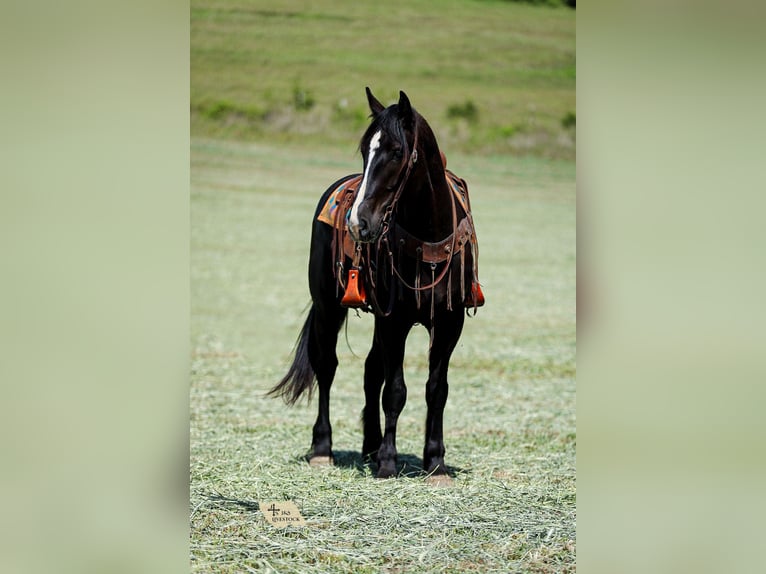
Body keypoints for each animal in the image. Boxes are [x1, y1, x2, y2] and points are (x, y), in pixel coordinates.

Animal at [269, 88, 483, 480]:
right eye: (364, 147)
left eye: (397, 151)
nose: (359, 222)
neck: (428, 239)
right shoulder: (394, 320)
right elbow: (395, 390)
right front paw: (387, 461)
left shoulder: (449, 322)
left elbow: (436, 389)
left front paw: (435, 462)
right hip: (328, 307)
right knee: (327, 366)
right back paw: (323, 448)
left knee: (371, 370)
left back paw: (368, 445)